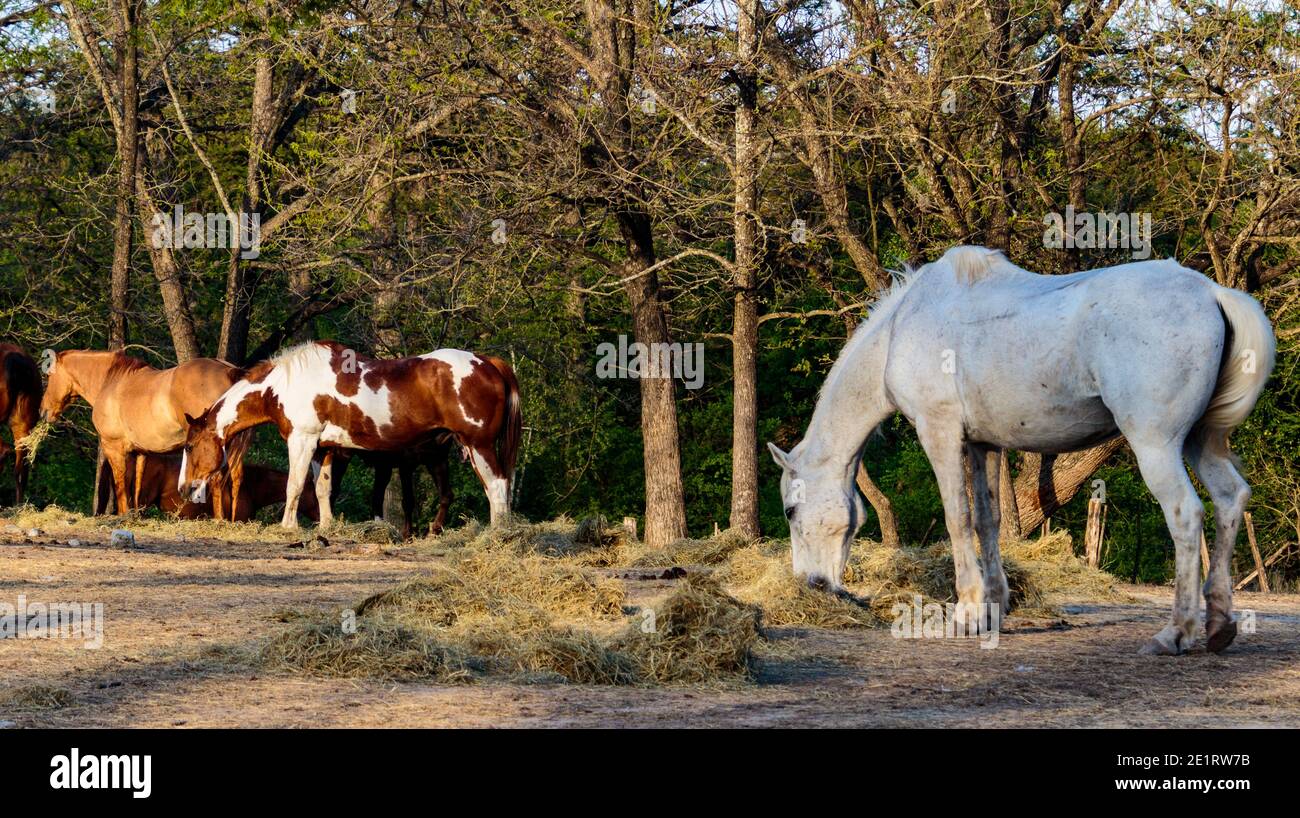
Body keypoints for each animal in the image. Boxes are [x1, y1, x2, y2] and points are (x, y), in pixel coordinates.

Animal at [179, 338, 522, 530]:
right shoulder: (323, 448)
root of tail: (488, 363)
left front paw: (287, 527)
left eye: (190, 446)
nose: (184, 489)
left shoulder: (302, 440)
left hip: (478, 445)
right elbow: (322, 489)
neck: (284, 384)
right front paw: (326, 527)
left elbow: (294, 485)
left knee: (497, 486)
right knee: (498, 487)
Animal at [774, 245, 1274, 652]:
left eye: (791, 511)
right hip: (1199, 442)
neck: (902, 329)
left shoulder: (940, 433)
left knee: (1186, 515)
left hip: (1157, 445)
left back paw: (1177, 632)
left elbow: (957, 517)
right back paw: (1218, 626)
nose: (811, 584)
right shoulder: (983, 445)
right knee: (1230, 499)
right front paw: (994, 608)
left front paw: (967, 612)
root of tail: (1212, 292)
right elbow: (987, 519)